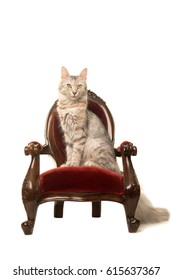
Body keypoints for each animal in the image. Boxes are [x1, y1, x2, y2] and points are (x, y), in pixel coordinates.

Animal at [56, 66, 169, 224]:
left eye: (78, 86)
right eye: (68, 85)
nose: (74, 92)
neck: (69, 106)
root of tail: (119, 168)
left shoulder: (79, 135)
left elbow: (76, 154)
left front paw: (73, 166)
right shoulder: (67, 135)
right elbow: (69, 152)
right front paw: (67, 165)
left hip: (96, 145)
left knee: (106, 167)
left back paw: (89, 164)